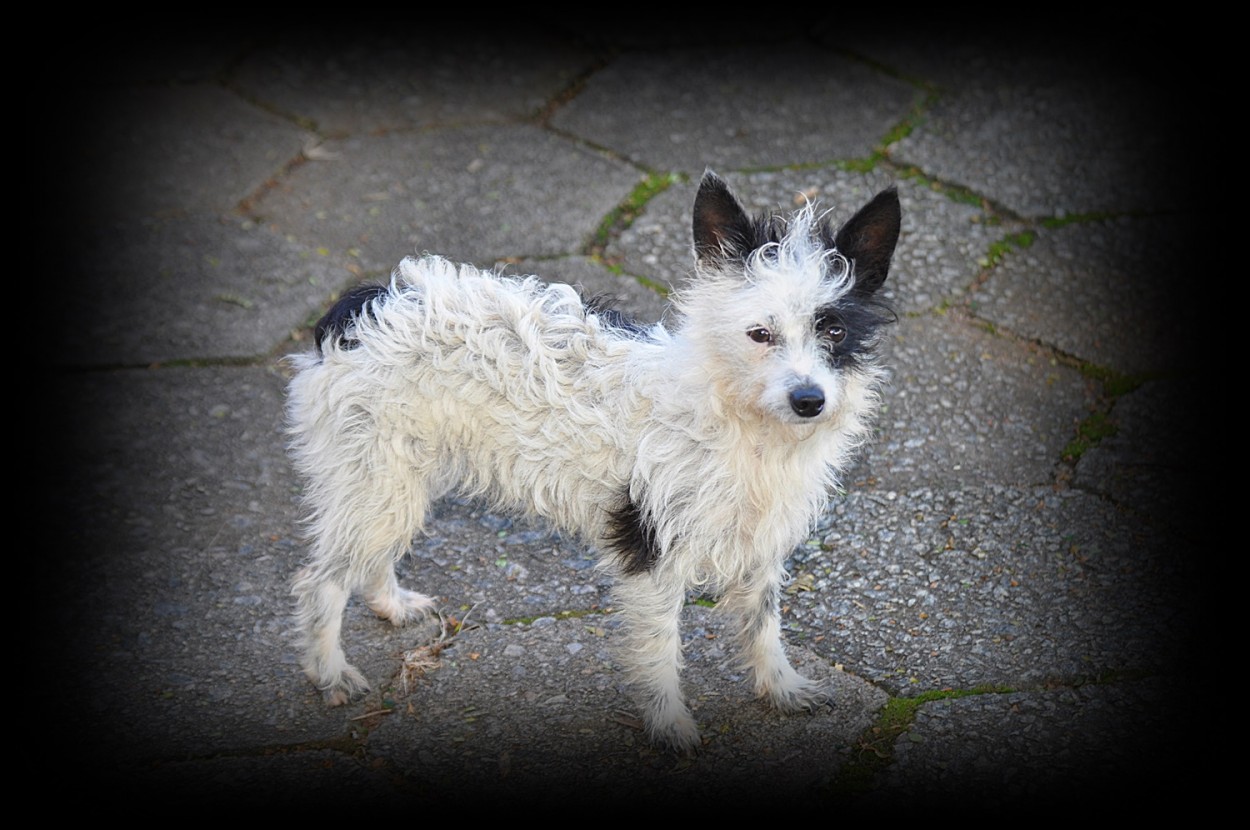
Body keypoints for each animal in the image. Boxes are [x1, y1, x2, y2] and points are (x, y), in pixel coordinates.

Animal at [288, 171, 905, 755]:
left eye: (835, 330)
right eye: (760, 333)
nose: (809, 400)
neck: (738, 418)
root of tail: (364, 305)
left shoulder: (762, 544)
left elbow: (763, 624)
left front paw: (780, 688)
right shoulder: (649, 552)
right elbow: (659, 649)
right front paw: (670, 726)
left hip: (395, 483)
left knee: (371, 556)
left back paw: (390, 606)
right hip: (379, 482)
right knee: (322, 581)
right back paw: (329, 672)